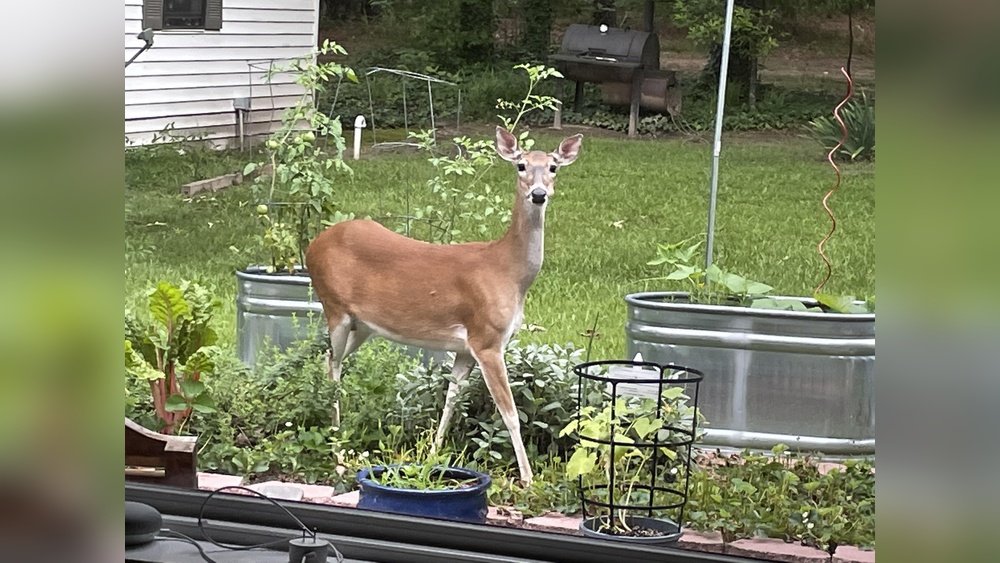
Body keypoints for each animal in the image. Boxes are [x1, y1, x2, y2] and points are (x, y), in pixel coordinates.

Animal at [305, 127, 583, 485]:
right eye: (521, 165)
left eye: (553, 167)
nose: (538, 194)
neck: (508, 271)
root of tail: (313, 245)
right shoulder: (487, 337)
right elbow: (509, 413)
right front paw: (527, 480)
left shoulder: (465, 348)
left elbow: (451, 399)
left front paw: (432, 458)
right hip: (334, 306)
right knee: (334, 367)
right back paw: (337, 453)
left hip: (362, 325)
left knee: (327, 360)